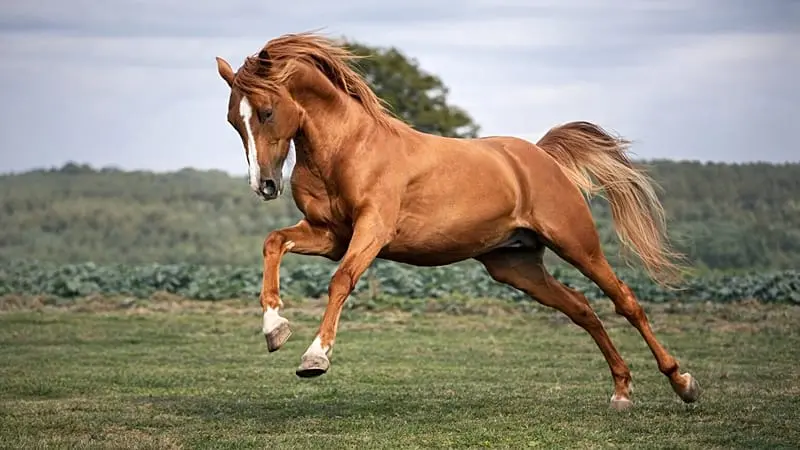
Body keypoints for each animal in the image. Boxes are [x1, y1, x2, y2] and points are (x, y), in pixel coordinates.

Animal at [213, 32, 700, 410]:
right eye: (233, 120)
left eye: (267, 112)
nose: (265, 185)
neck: (347, 149)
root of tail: (541, 156)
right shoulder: (330, 235)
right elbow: (273, 243)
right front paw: (275, 330)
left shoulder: (371, 231)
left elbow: (341, 281)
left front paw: (314, 358)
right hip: (515, 266)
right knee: (582, 309)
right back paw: (621, 391)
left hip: (578, 245)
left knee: (625, 301)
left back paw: (683, 383)